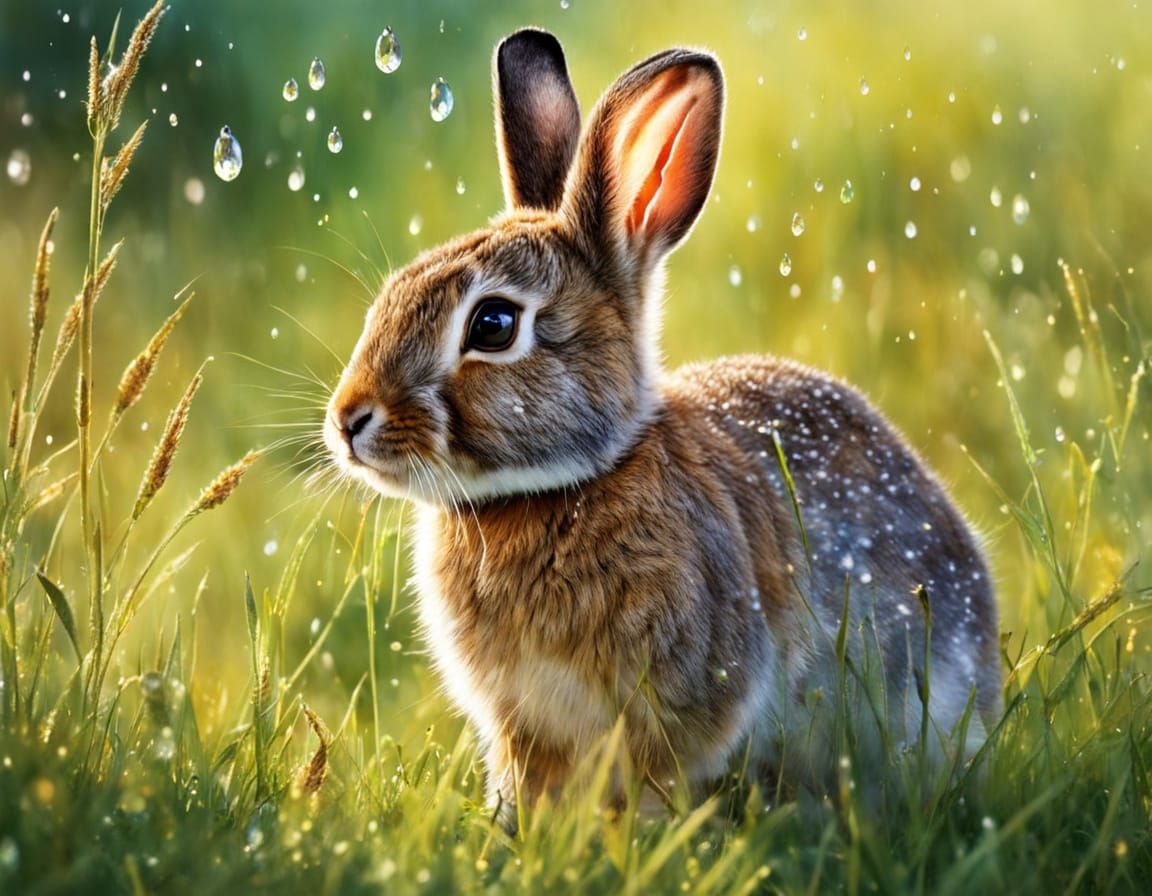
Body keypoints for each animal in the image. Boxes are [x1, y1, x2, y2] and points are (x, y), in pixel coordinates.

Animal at [325, 27, 1000, 827]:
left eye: (493, 325)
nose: (348, 420)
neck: (559, 490)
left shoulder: (684, 693)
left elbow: (655, 779)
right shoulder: (524, 721)